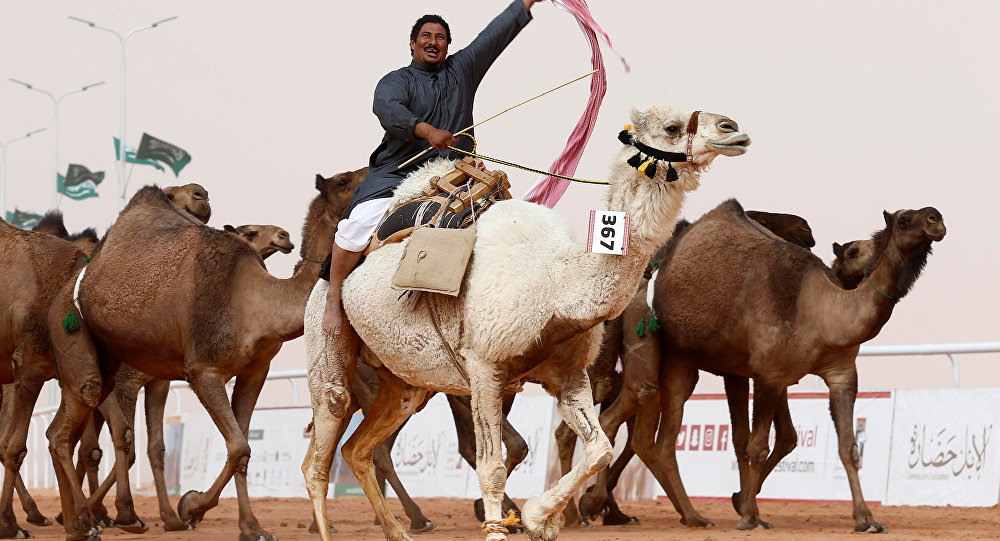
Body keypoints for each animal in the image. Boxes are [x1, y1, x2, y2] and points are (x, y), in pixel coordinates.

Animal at [43, 167, 364, 536]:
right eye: (342, 181)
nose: (283, 236)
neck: (255, 301)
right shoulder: (202, 372)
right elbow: (236, 445)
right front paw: (189, 507)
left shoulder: (255, 371)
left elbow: (242, 450)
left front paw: (251, 528)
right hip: (74, 336)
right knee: (77, 421)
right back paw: (95, 517)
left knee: (59, 433)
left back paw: (75, 520)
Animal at [302, 105, 752, 540]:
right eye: (672, 127)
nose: (733, 129)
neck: (556, 282)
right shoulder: (484, 368)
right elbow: (492, 468)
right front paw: (513, 525)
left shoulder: (568, 373)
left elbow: (599, 450)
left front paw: (539, 519)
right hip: (328, 349)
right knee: (318, 457)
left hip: (406, 384)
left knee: (357, 449)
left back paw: (400, 531)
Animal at [592, 199, 944, 532]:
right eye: (904, 219)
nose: (936, 218)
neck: (821, 312)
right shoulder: (769, 375)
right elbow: (756, 445)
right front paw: (750, 514)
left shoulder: (841, 374)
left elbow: (848, 447)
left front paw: (866, 519)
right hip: (647, 340)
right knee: (627, 412)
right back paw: (596, 507)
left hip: (680, 363)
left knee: (658, 440)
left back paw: (690, 516)